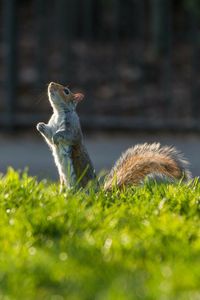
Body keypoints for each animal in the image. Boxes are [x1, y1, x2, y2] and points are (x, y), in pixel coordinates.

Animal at [36, 82, 191, 190]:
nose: (51, 84)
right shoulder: (53, 125)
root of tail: (99, 195)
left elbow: (67, 135)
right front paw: (40, 126)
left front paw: (57, 136)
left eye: (66, 91)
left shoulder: (73, 128)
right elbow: (49, 136)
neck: (59, 113)